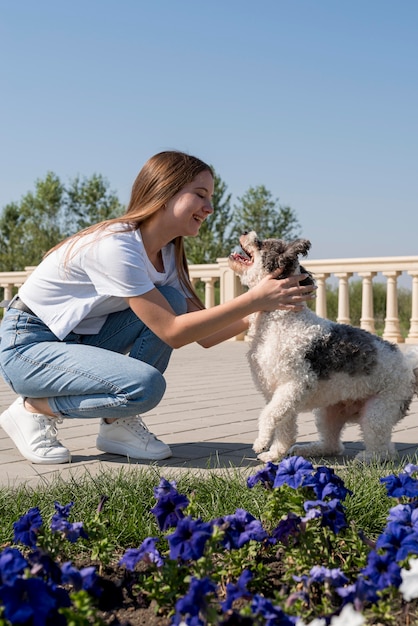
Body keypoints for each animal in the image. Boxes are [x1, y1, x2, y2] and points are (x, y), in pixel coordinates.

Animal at [229, 232, 418, 460]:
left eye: (261, 243)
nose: (245, 232)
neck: (280, 320)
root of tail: (408, 367)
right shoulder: (279, 393)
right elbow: (284, 427)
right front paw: (274, 455)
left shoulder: (295, 385)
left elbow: (269, 414)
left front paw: (262, 442)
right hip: (329, 412)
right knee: (333, 445)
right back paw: (308, 449)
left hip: (379, 409)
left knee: (384, 449)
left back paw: (366, 459)